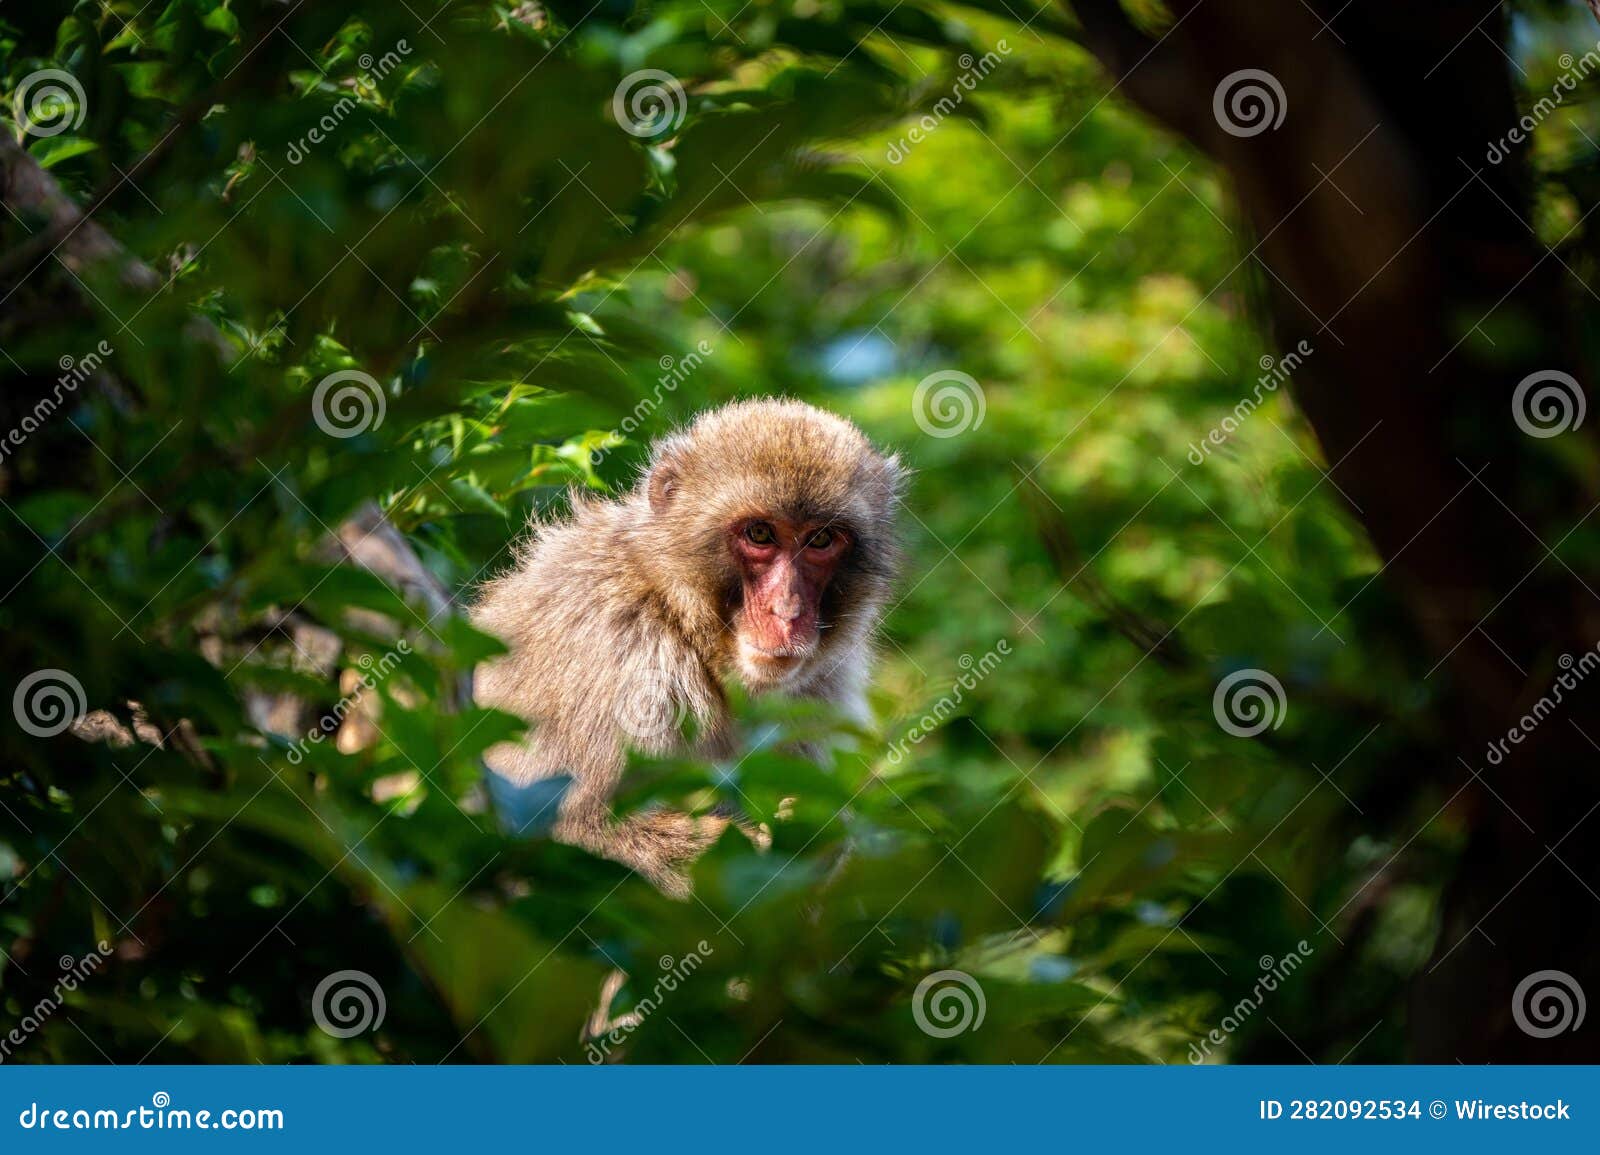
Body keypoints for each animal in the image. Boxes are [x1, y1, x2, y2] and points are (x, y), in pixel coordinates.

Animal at [467, 399, 908, 895]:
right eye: (760, 534)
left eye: (821, 540)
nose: (788, 611)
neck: (677, 614)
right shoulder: (615, 655)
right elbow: (563, 832)